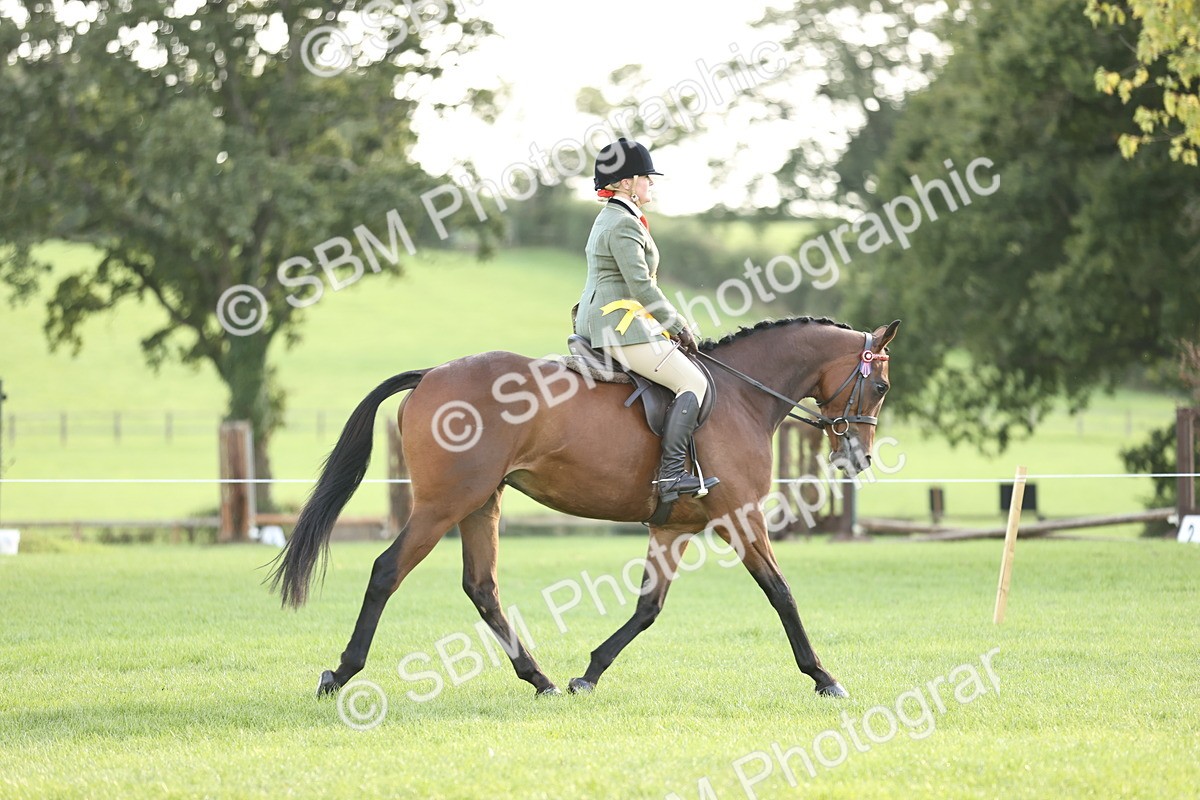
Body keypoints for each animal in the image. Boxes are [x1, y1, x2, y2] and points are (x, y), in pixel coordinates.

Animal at [269, 316, 899, 699]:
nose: (860, 457)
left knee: (481, 587)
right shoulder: (739, 518)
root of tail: (430, 376)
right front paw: (824, 677)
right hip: (444, 504)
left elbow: (648, 608)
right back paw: (340, 673)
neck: (743, 397)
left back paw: (540, 678)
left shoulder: (675, 528)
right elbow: (781, 593)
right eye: (883, 387)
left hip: (480, 504)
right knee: (386, 571)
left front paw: (588, 674)